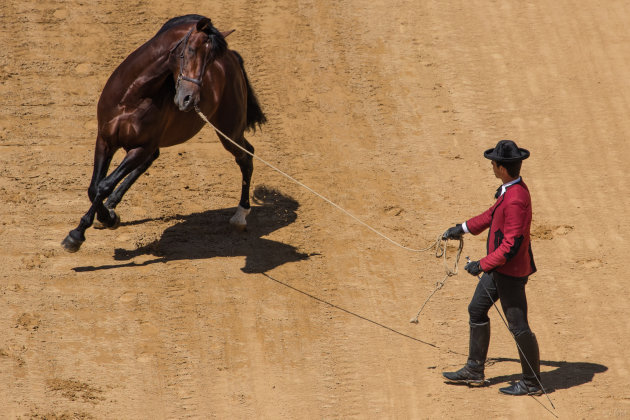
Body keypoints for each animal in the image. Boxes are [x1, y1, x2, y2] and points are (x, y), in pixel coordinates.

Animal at [64, 14, 270, 253]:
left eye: (211, 61)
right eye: (191, 50)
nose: (189, 99)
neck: (132, 96)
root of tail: (234, 59)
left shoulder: (141, 146)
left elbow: (104, 185)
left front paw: (80, 233)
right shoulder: (105, 140)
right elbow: (94, 187)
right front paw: (102, 219)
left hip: (229, 130)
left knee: (246, 157)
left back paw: (240, 215)